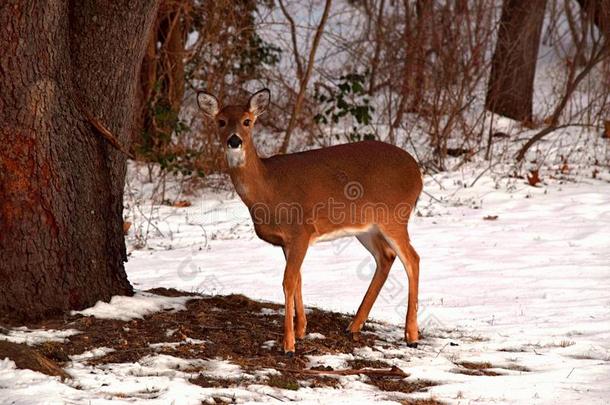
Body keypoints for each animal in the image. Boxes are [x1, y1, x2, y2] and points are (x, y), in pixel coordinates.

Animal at [197, 87, 420, 354]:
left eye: (247, 121)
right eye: (221, 121)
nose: (234, 140)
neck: (268, 190)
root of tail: (418, 172)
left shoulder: (300, 231)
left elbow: (288, 282)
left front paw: (288, 344)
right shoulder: (287, 241)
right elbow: (298, 281)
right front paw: (302, 330)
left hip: (394, 216)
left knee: (413, 260)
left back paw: (411, 335)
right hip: (366, 228)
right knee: (386, 257)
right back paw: (354, 325)